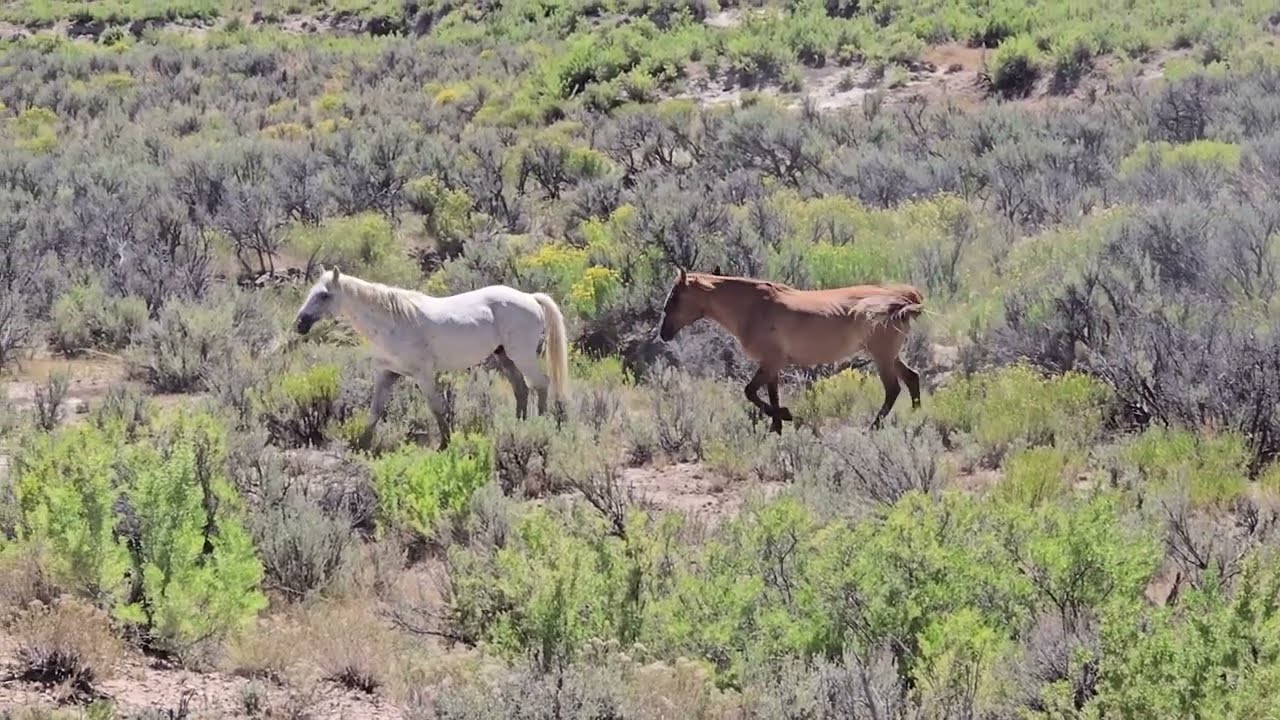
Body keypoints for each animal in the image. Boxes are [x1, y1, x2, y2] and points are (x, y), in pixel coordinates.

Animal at [292, 266, 570, 450]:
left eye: (324, 295)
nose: (299, 324)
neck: (393, 322)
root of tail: (530, 298)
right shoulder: (386, 373)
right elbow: (375, 410)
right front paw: (361, 445)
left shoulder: (422, 375)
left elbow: (436, 408)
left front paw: (445, 444)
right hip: (505, 357)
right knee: (521, 389)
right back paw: (519, 425)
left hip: (521, 355)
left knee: (540, 384)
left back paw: (539, 426)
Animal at [657, 266, 924, 434]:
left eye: (675, 297)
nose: (663, 333)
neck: (754, 308)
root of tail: (903, 299)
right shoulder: (772, 366)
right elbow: (771, 394)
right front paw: (776, 427)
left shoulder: (771, 362)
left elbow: (751, 392)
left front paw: (785, 416)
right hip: (890, 356)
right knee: (912, 378)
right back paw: (917, 419)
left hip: (882, 357)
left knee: (893, 389)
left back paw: (872, 428)